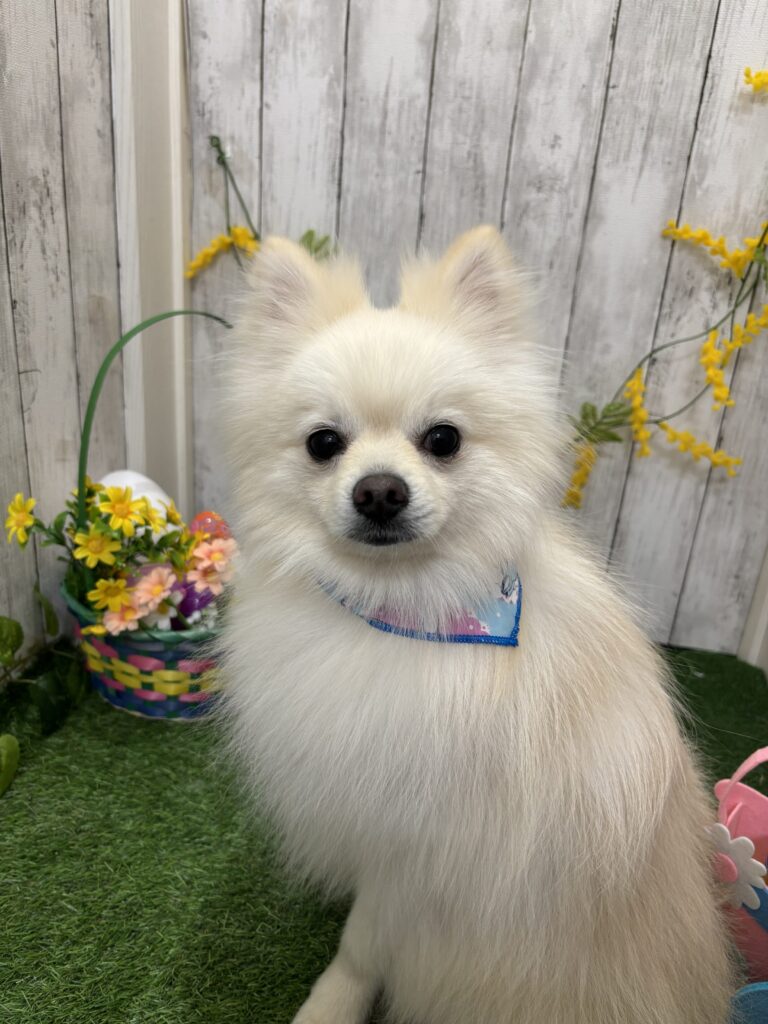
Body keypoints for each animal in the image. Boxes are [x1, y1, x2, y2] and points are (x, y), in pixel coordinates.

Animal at [220, 227, 734, 1023]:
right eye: (323, 443)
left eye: (443, 440)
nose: (379, 491)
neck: (406, 612)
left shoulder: (413, 851)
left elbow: (360, 946)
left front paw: (330, 1004)